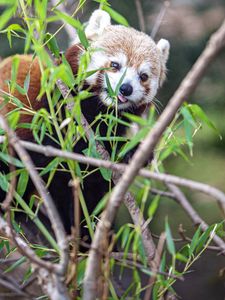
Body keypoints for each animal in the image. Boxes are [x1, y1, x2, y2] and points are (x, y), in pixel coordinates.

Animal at [0, 9, 169, 237]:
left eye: (143, 76)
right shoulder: (48, 111)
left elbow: (90, 187)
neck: (98, 110)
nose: (125, 88)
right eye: (115, 65)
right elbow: (58, 150)